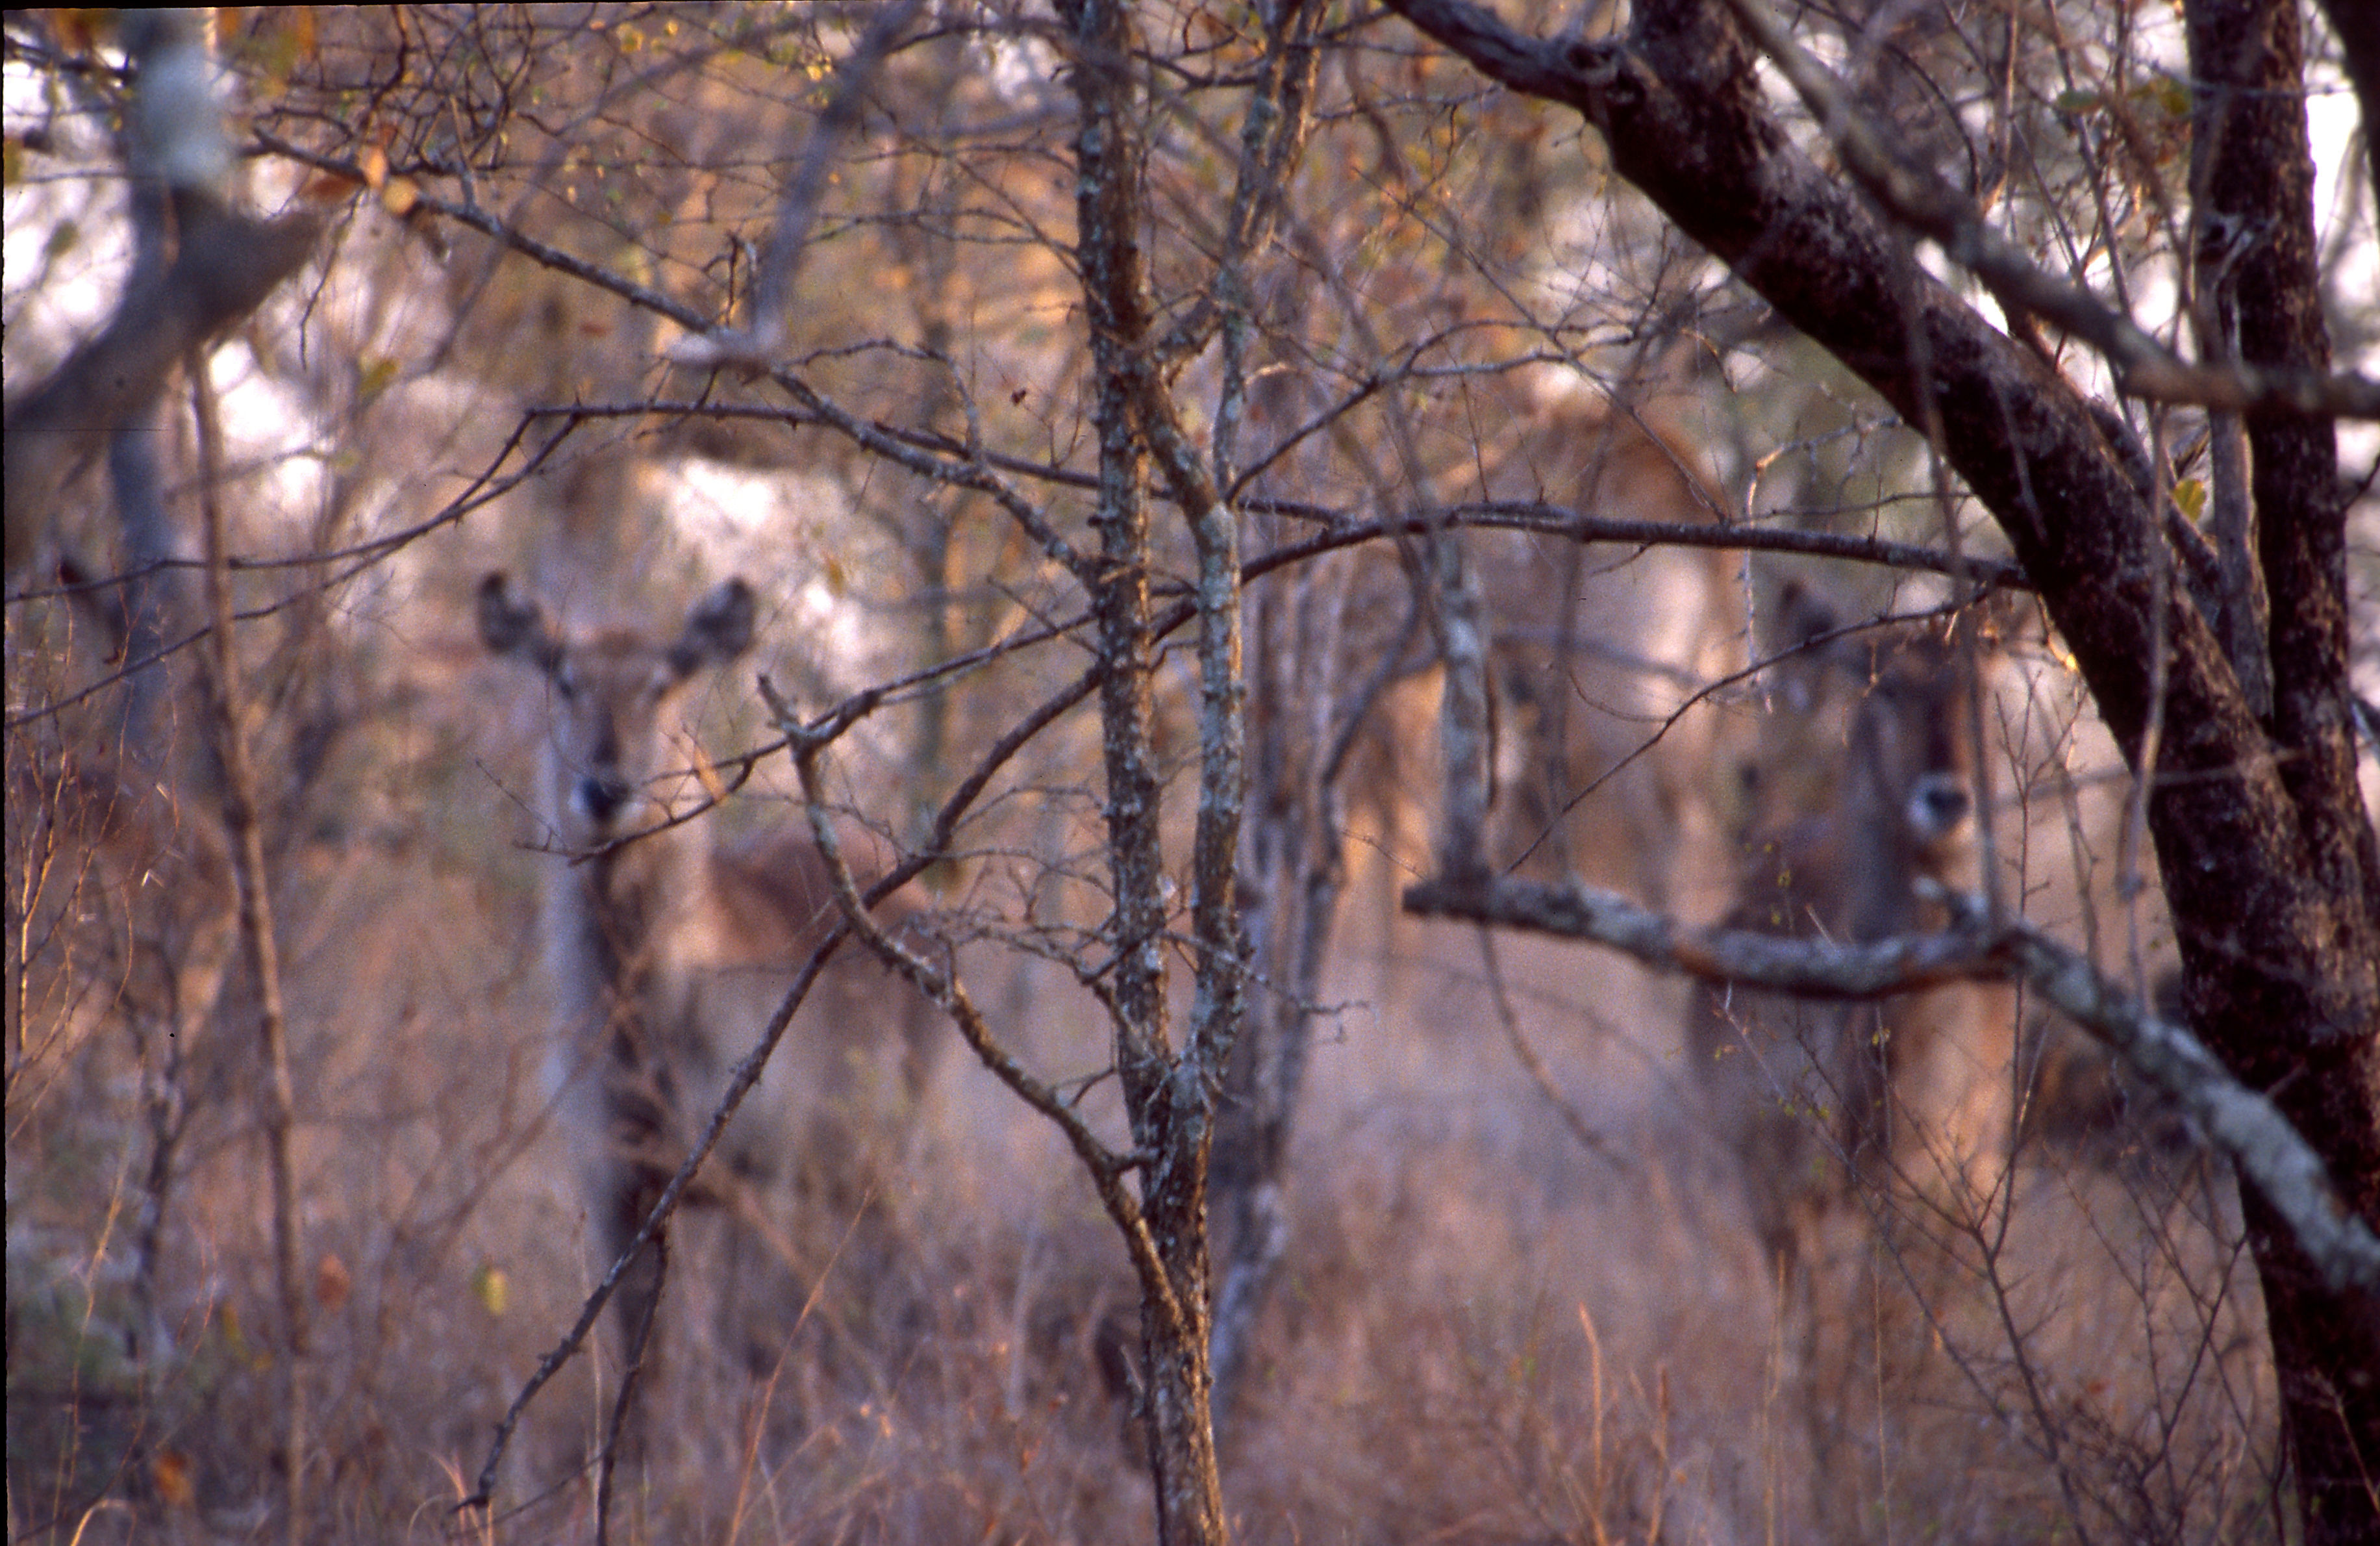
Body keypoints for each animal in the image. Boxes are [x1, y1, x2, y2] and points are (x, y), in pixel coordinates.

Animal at [476, 569, 938, 1362]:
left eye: (660, 683)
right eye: (564, 679)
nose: (607, 787)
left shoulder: (764, 1169)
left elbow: (749, 1341)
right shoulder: (614, 1185)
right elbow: (644, 1359)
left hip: (881, 1146)